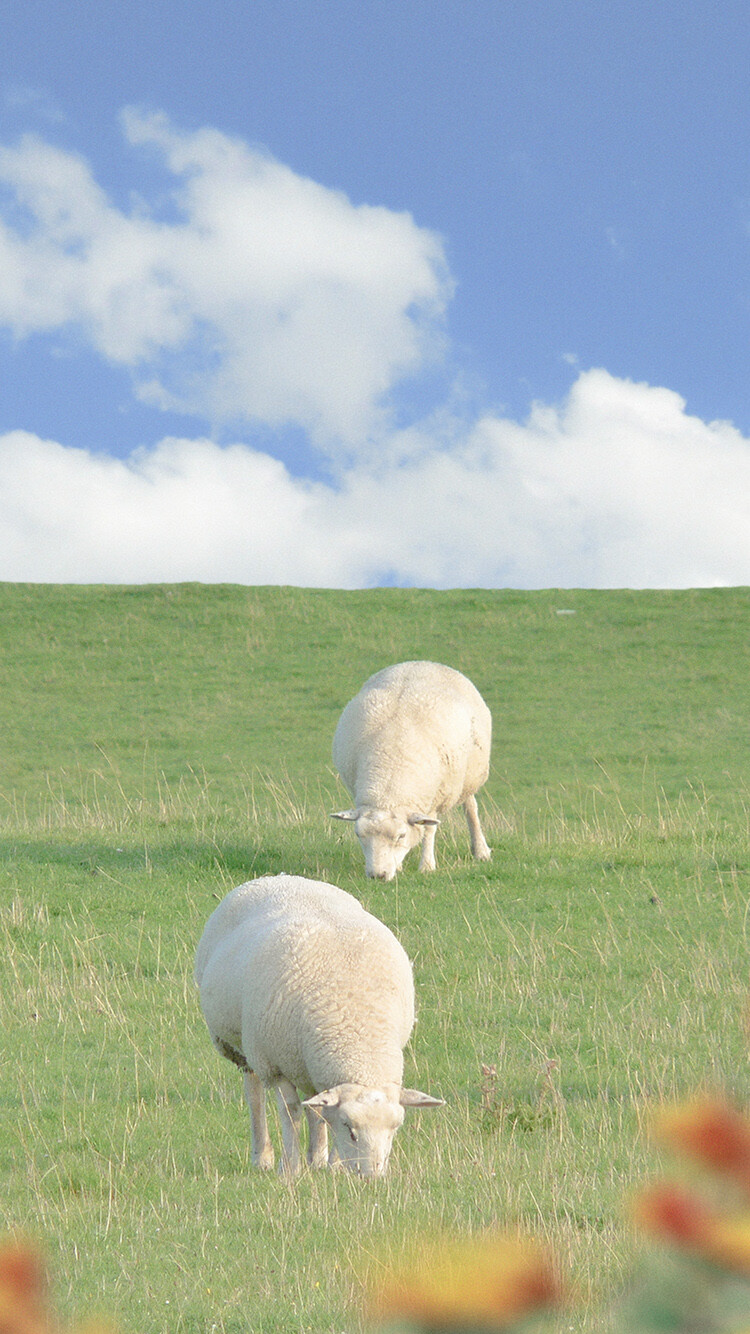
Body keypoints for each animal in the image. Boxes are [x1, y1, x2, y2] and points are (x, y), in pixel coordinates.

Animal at [192, 875, 440, 1179]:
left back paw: (317, 1157)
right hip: (245, 1049)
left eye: (394, 1130)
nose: (372, 1177)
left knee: (313, 1104)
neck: (358, 1034)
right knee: (255, 1096)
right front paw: (289, 1168)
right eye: (350, 1129)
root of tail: (277, 877)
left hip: (306, 1061)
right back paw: (262, 1156)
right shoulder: (274, 1064)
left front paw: (332, 1165)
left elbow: (319, 1112)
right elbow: (291, 1112)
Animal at [328, 658, 491, 885]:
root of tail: (422, 662)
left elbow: (429, 830)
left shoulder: (434, 797)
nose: (378, 876)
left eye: (401, 836)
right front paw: (399, 866)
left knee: (471, 808)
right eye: (359, 835)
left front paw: (427, 866)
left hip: (467, 776)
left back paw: (481, 850)